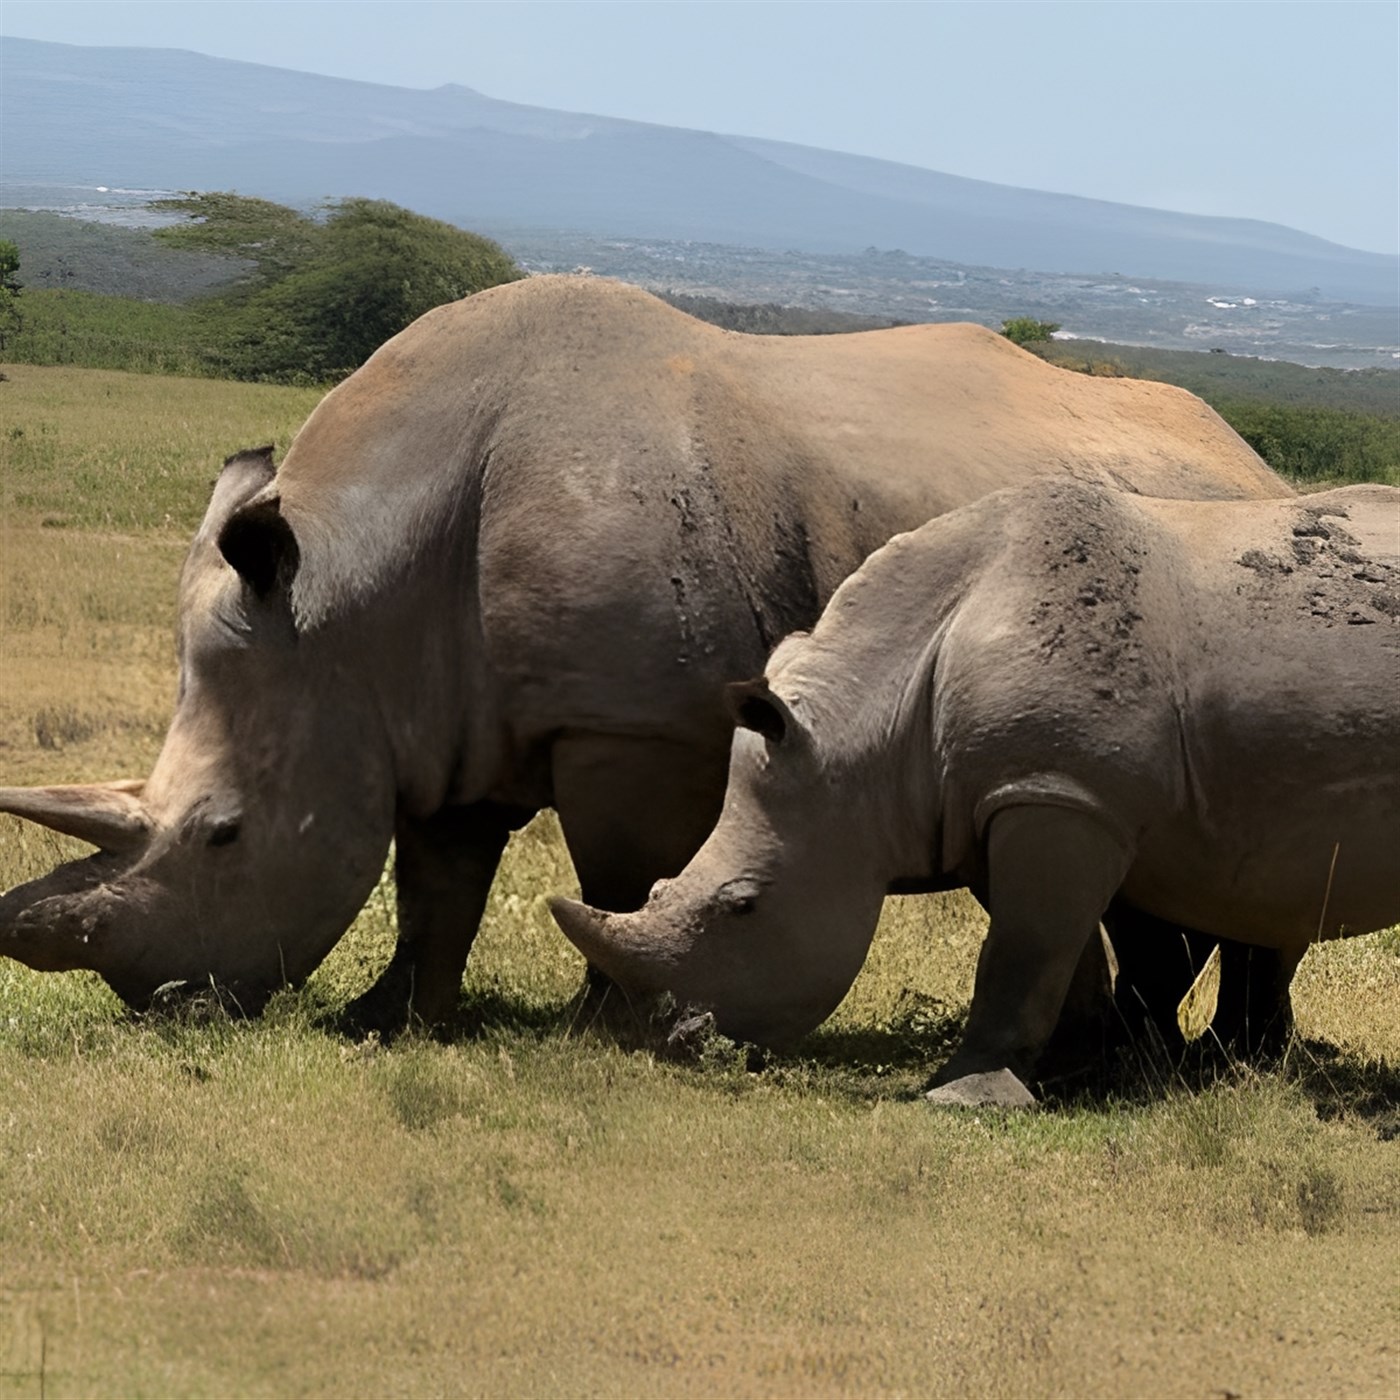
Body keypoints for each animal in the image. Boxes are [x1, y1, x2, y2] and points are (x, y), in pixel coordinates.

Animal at [0, 276, 1290, 1024]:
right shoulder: (437, 715)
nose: (160, 1000)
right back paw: (1150, 1052)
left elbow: (615, 875)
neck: (349, 600)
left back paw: (1210, 1061)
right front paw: (390, 1016)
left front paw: (595, 1021)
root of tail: (1250, 455)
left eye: (223, 835)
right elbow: (437, 883)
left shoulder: (633, 719)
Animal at [551, 480, 1400, 1106]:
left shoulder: (1062, 792)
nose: (676, 1042)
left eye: (744, 907)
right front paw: (1081, 1067)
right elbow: (1060, 947)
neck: (872, 715)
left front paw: (965, 1097)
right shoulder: (1016, 796)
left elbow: (1022, 951)